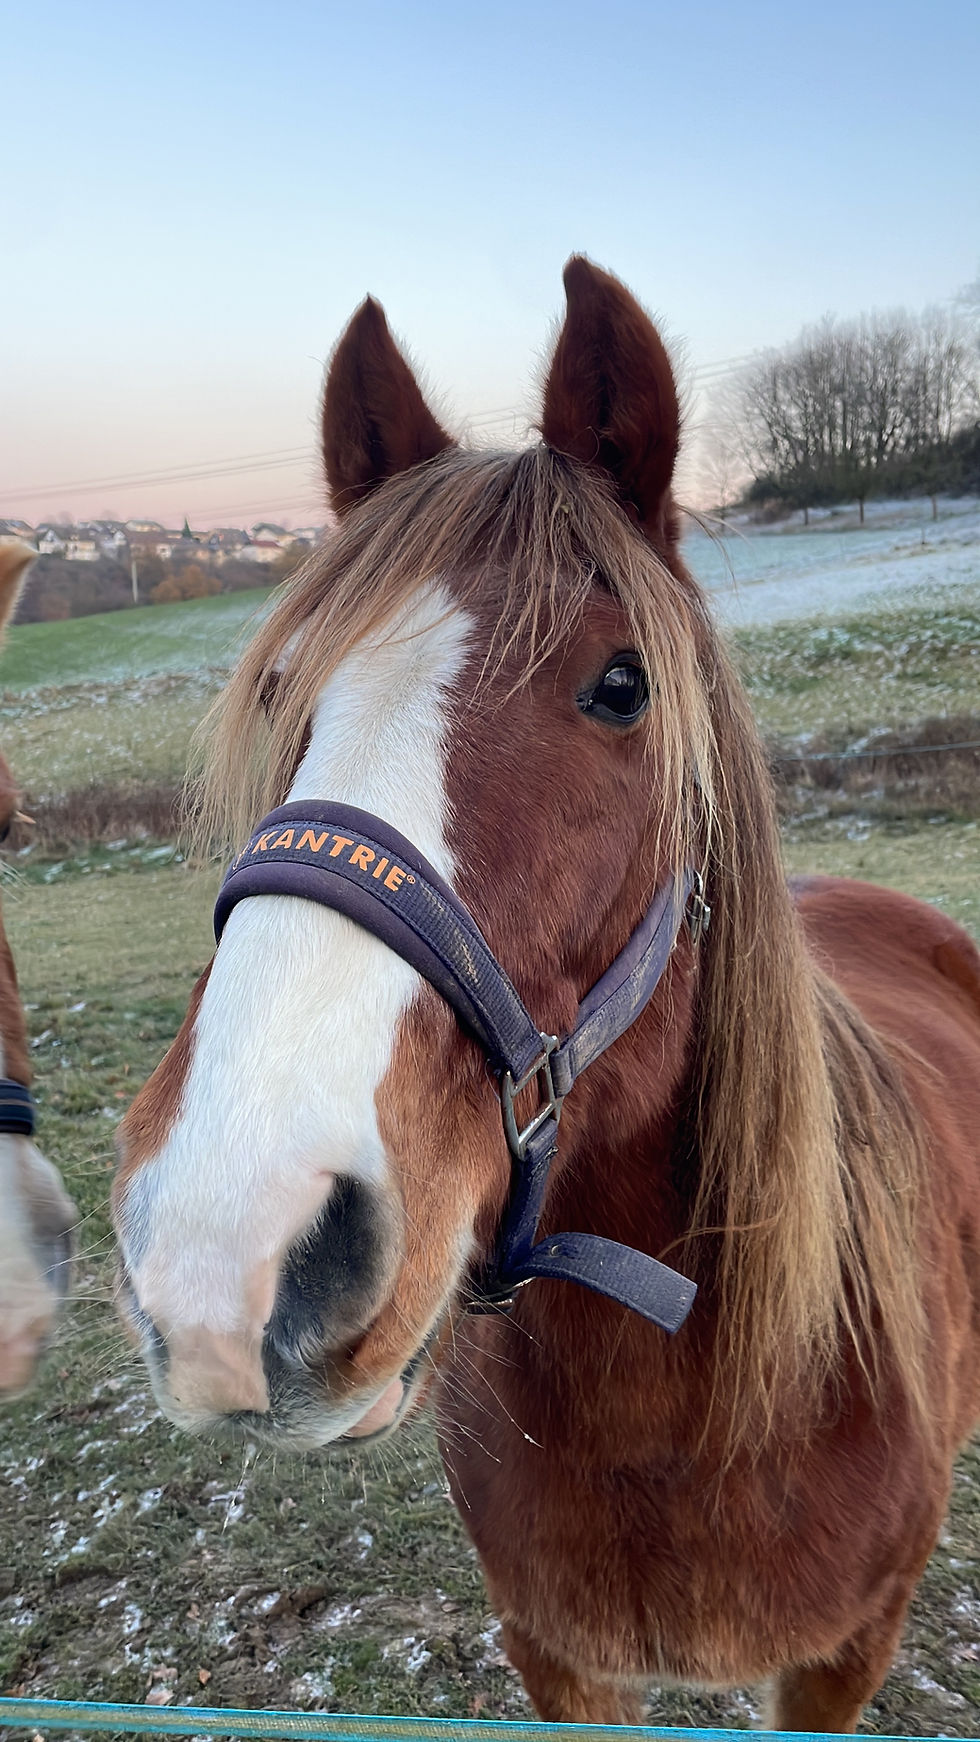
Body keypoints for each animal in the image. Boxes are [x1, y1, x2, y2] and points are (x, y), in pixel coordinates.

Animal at [111, 259, 980, 1732]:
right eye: (284, 689)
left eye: (621, 686)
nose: (228, 1246)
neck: (687, 1398)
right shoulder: (558, 1654)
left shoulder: (839, 1659)